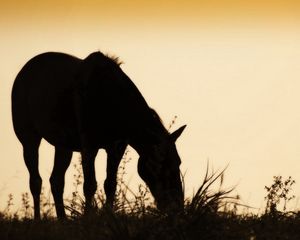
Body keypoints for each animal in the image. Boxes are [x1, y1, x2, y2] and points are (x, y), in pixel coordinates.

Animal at [11, 51, 185, 219]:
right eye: (161, 164)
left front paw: (108, 215)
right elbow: (89, 185)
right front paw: (89, 218)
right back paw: (37, 220)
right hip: (29, 139)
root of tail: (22, 73)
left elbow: (110, 184)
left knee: (56, 180)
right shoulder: (89, 146)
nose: (177, 206)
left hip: (63, 146)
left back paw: (63, 220)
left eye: (178, 162)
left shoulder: (116, 147)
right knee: (35, 181)